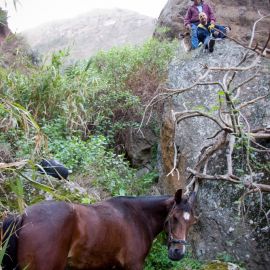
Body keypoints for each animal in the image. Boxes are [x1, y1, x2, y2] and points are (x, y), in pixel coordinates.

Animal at [1, 190, 196, 270]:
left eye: (192, 222)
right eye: (174, 218)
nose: (178, 252)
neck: (137, 216)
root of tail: (23, 215)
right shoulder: (133, 265)